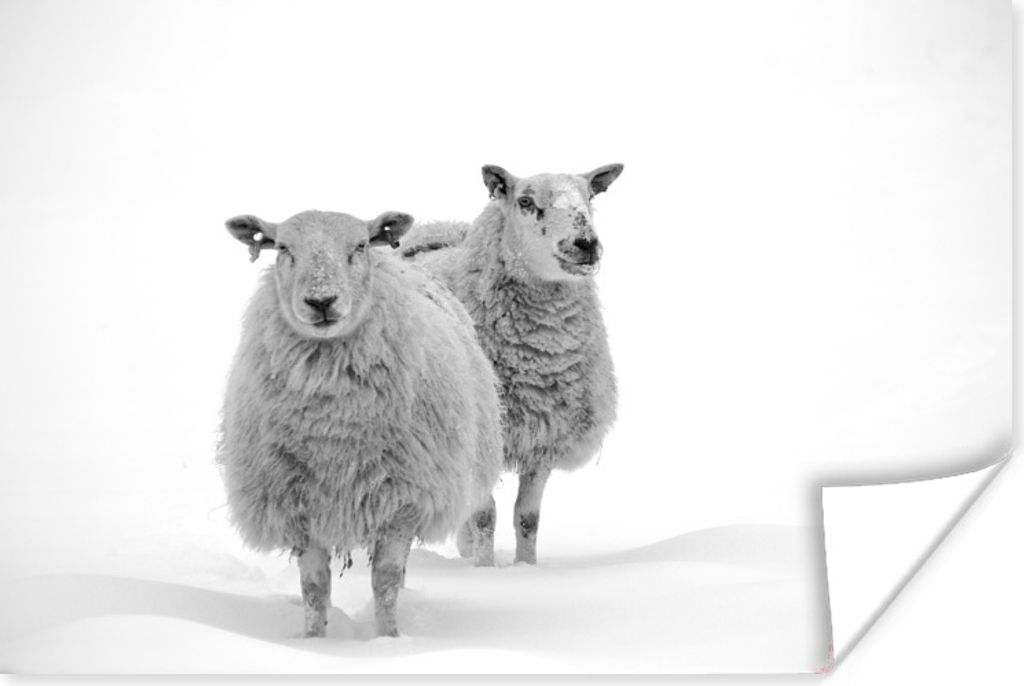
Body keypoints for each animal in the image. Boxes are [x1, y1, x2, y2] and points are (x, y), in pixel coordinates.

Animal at [217, 209, 503, 638]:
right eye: (283, 247)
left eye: (361, 245)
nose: (321, 301)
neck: (333, 429)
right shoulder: (298, 505)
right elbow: (314, 587)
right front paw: (314, 640)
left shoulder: (403, 501)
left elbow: (384, 581)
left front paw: (389, 639)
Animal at [401, 164, 623, 564]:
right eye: (525, 202)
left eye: (589, 197)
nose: (585, 243)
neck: (539, 356)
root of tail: (432, 231)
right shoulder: (482, 439)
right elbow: (485, 517)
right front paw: (485, 569)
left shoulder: (543, 440)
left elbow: (527, 518)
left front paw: (525, 567)